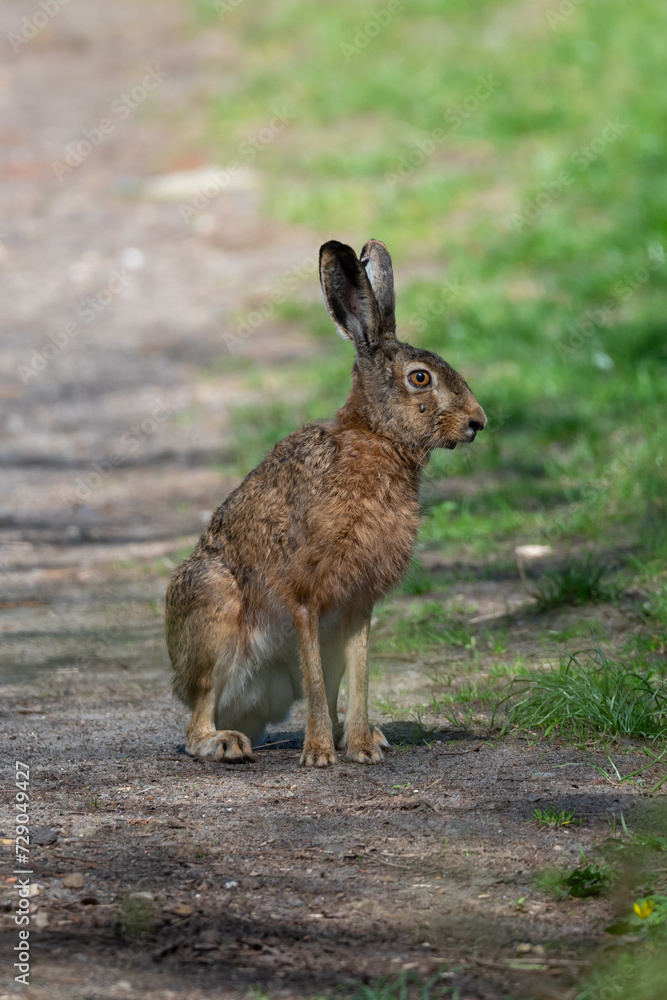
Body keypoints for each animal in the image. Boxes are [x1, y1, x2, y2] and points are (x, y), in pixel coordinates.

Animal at [165, 239, 486, 767]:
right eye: (420, 378)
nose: (478, 422)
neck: (376, 437)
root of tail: (250, 707)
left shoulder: (357, 604)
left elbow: (359, 677)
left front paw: (360, 748)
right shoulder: (305, 597)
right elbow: (316, 681)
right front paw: (317, 755)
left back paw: (361, 736)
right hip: (215, 611)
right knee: (197, 717)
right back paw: (226, 742)